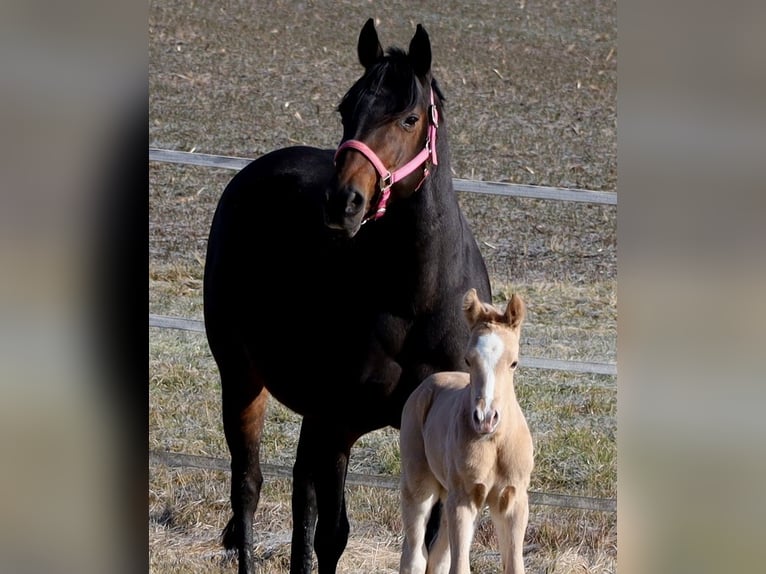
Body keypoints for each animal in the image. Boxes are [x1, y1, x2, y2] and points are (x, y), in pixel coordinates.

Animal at [204, 18, 492, 574]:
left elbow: (433, 540)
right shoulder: (339, 426)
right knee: (249, 486)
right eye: (345, 108)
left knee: (298, 490)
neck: (415, 300)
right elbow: (331, 535)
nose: (343, 201)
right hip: (243, 377)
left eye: (408, 117)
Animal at [402, 290, 536, 574]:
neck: (495, 443)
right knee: (415, 556)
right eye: (468, 360)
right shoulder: (463, 499)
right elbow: (460, 566)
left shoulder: (513, 500)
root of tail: (429, 383)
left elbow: (514, 566)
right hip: (420, 486)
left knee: (437, 558)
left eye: (514, 363)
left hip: (447, 496)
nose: (485, 419)